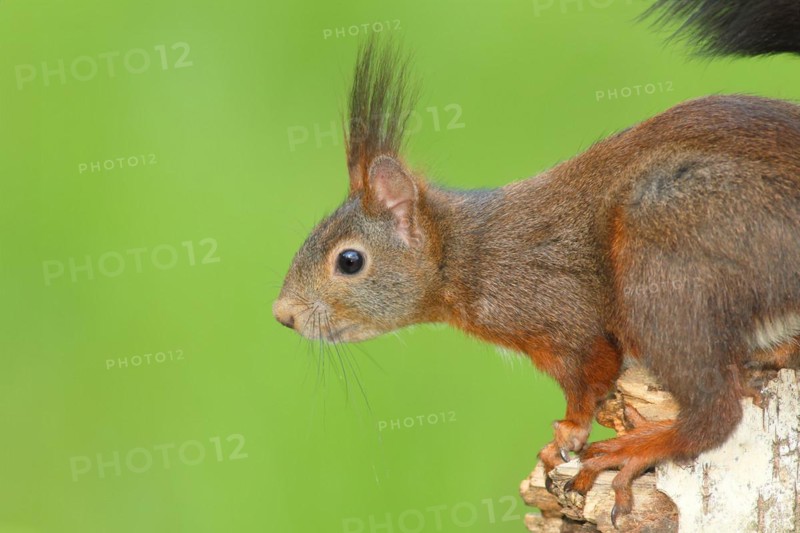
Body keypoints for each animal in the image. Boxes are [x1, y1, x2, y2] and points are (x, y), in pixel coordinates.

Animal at [274, 0, 800, 524]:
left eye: (349, 261)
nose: (284, 315)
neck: (467, 255)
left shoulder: (560, 313)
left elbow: (589, 374)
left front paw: (568, 432)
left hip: (666, 258)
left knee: (716, 411)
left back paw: (635, 450)